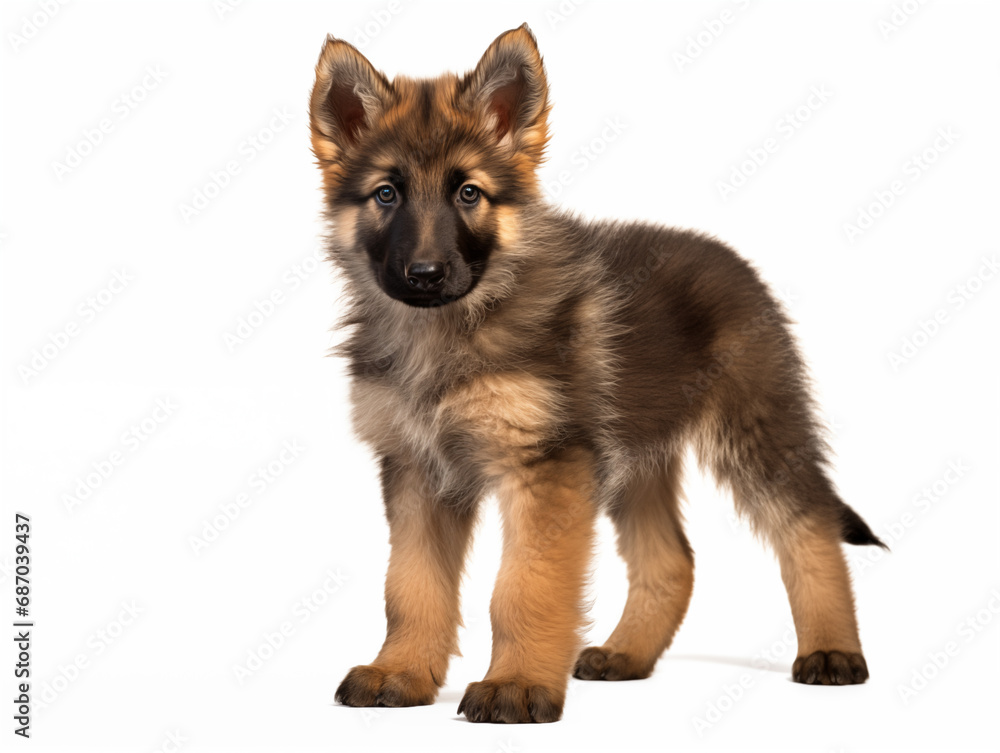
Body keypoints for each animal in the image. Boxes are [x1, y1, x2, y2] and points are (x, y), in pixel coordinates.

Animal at [310, 25, 884, 724]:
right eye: (386, 194)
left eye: (469, 193)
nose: (424, 275)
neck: (449, 331)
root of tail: (731, 261)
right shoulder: (419, 471)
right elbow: (411, 585)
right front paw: (401, 671)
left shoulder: (546, 468)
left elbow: (523, 586)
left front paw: (516, 684)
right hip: (635, 459)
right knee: (673, 560)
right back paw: (627, 654)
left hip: (755, 432)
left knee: (810, 528)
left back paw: (832, 651)